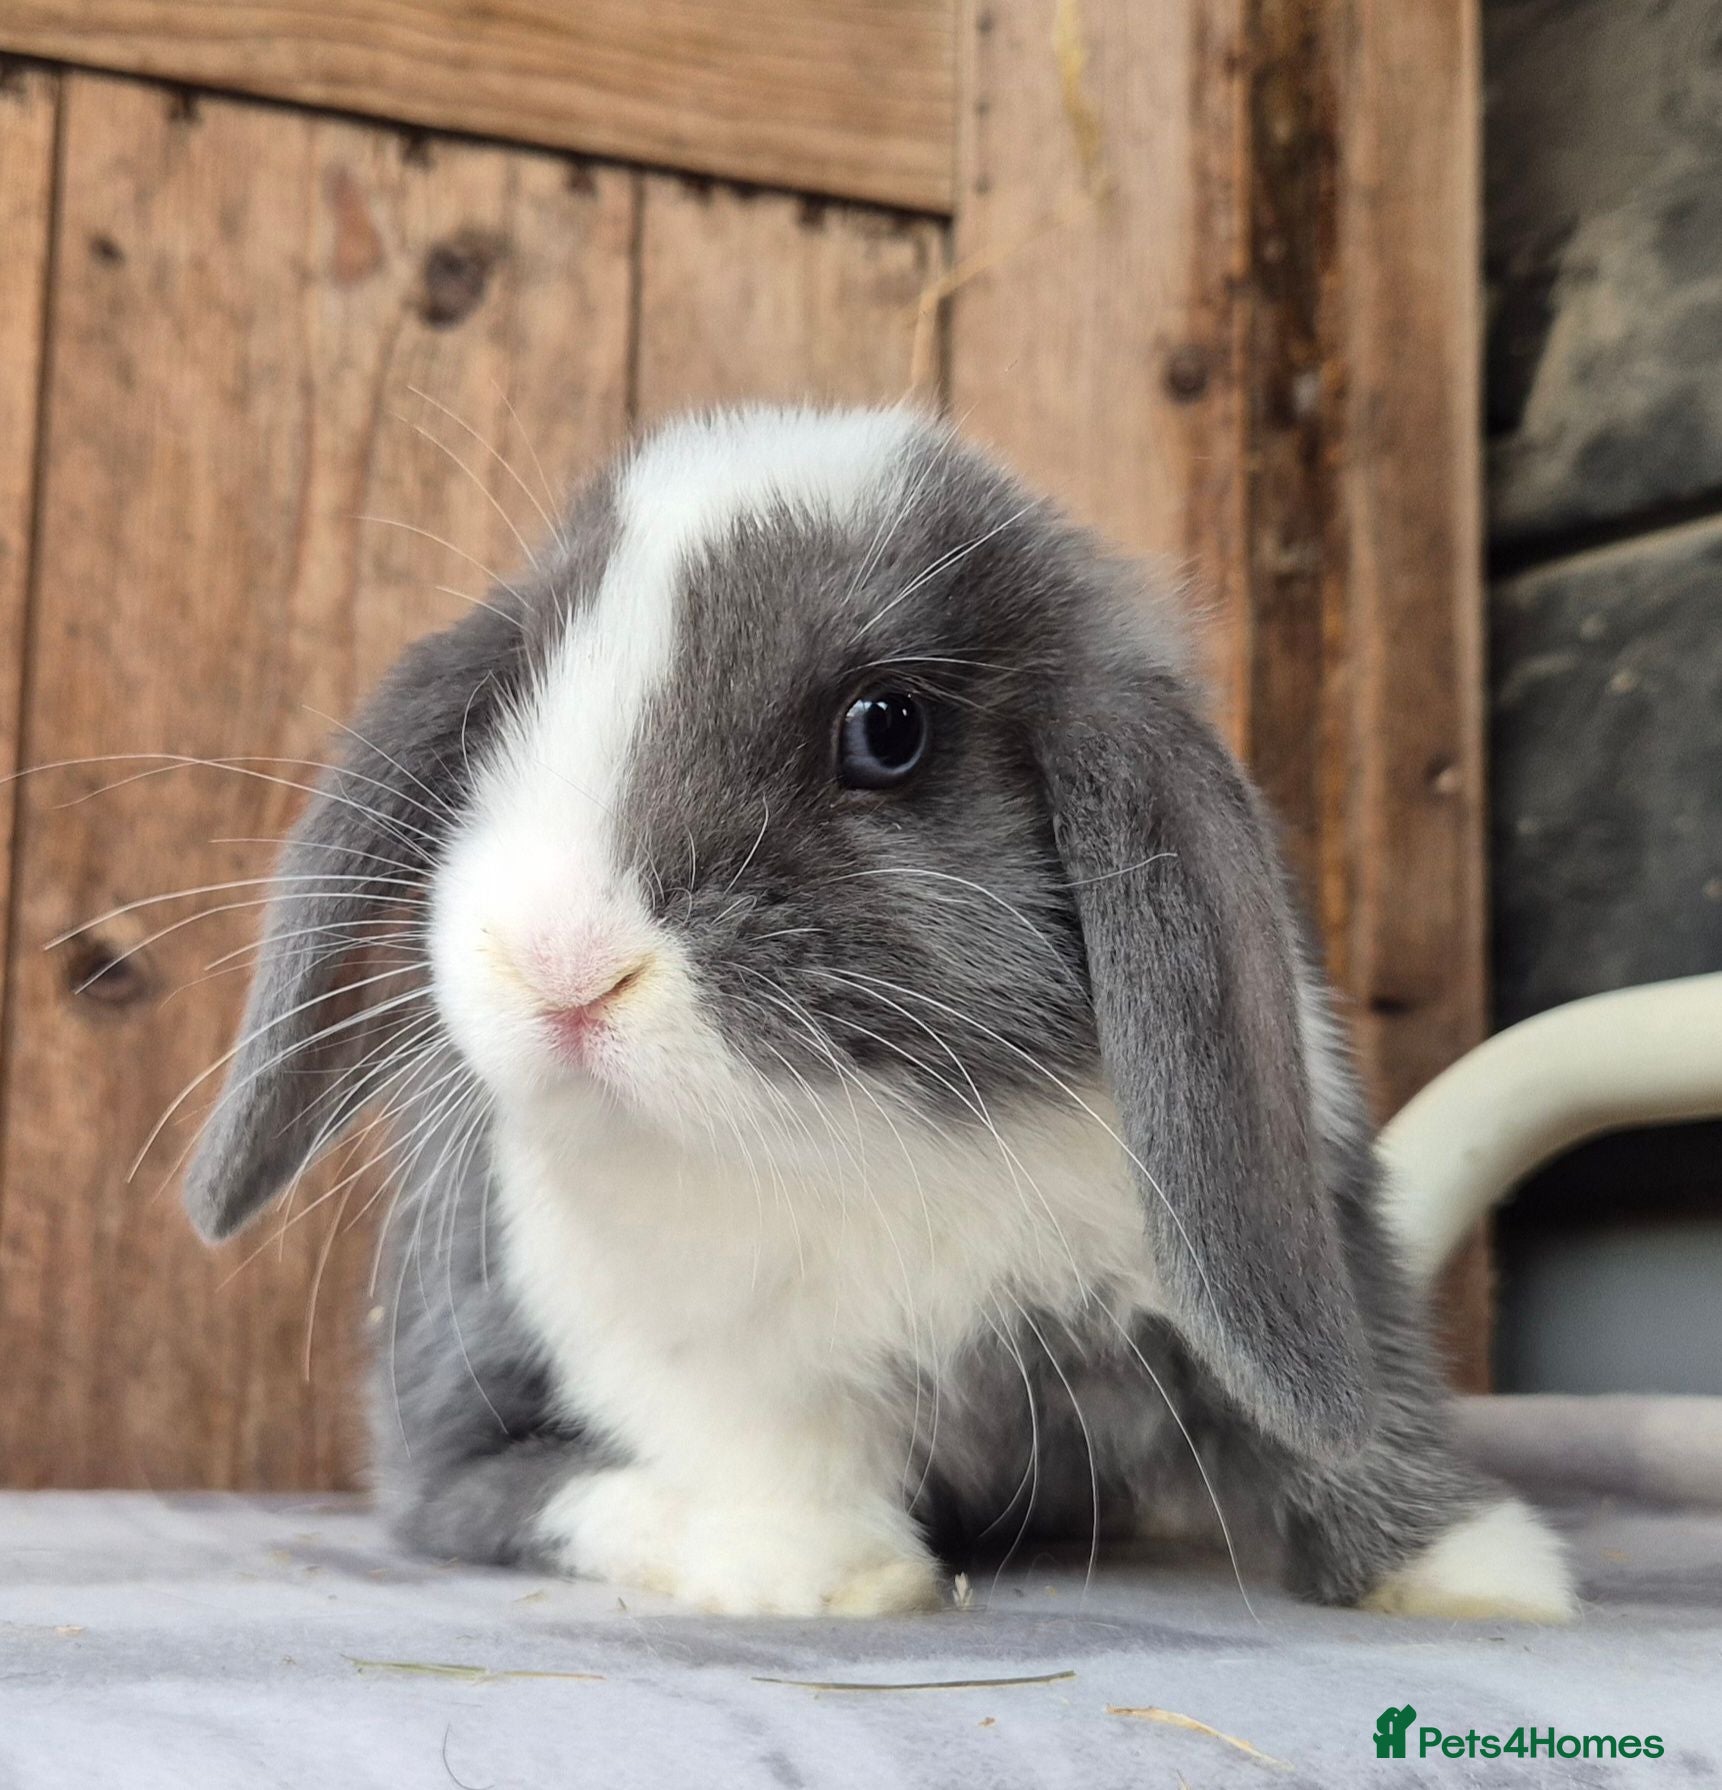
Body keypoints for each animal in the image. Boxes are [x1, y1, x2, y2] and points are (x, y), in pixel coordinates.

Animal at [183, 404, 1577, 1621]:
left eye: (887, 726)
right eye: (512, 703)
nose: (559, 960)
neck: (880, 1123)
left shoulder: (1277, 1238)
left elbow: (1352, 1409)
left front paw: (1476, 1576)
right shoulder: (681, 1343)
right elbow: (761, 1444)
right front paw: (830, 1568)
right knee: (464, 1489)